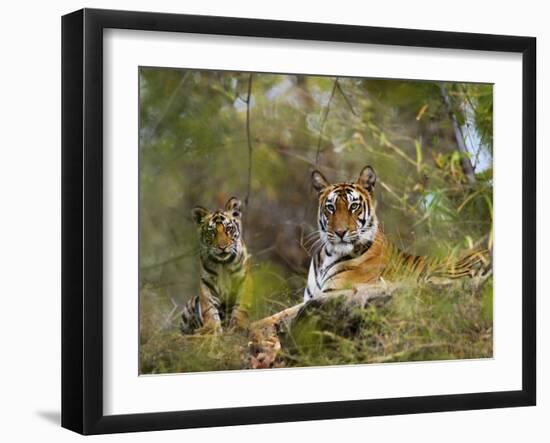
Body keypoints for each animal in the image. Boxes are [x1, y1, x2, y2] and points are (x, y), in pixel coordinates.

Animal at [182, 196, 253, 334]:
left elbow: (241, 306)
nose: (222, 247)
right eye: (212, 232)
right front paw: (210, 328)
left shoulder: (244, 279)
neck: (223, 264)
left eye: (228, 229)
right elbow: (209, 308)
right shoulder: (206, 283)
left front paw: (239, 325)